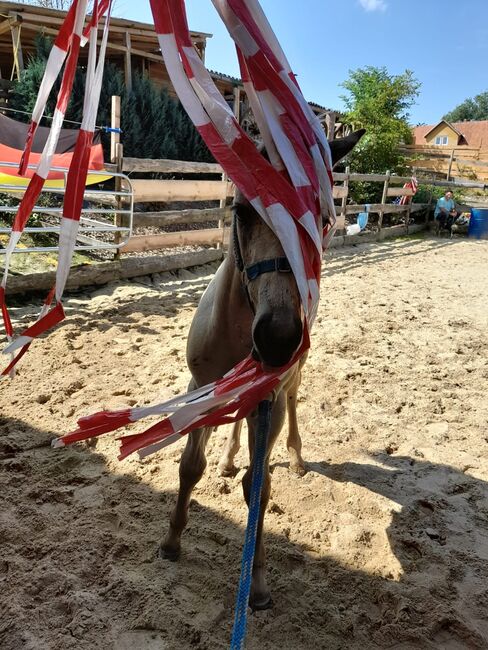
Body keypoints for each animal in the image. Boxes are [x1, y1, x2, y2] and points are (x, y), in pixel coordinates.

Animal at [160, 128, 366, 608]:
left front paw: (257, 582)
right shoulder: (200, 387)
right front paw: (172, 541)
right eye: (242, 211)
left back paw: (295, 458)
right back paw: (227, 458)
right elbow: (189, 467)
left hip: (293, 377)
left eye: (320, 220)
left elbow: (259, 485)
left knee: (294, 402)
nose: (277, 337)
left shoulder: (267, 399)